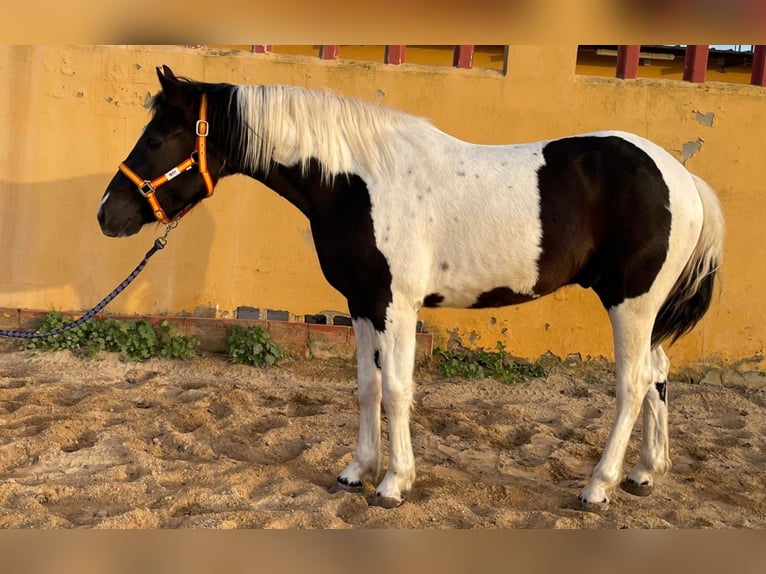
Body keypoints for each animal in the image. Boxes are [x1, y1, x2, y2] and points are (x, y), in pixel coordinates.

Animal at [97, 65, 728, 510]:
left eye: (157, 139)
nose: (108, 214)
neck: (357, 180)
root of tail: (683, 177)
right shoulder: (360, 304)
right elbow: (366, 388)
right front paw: (357, 471)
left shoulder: (396, 306)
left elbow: (398, 389)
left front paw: (394, 483)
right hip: (644, 309)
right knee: (659, 373)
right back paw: (645, 474)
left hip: (631, 302)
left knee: (632, 383)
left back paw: (599, 486)